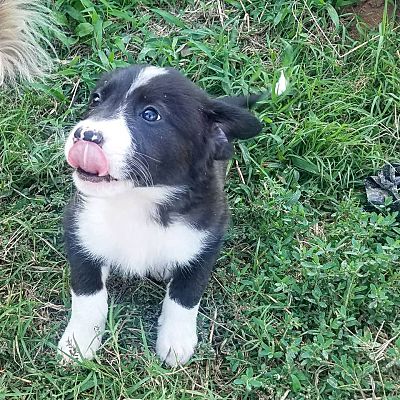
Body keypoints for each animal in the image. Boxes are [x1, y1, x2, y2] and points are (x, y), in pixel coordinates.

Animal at [57, 65, 262, 366]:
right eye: (96, 100)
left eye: (150, 115)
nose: (85, 136)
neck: (137, 200)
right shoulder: (79, 228)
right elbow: (87, 292)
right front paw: (78, 342)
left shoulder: (208, 238)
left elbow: (186, 294)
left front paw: (176, 342)